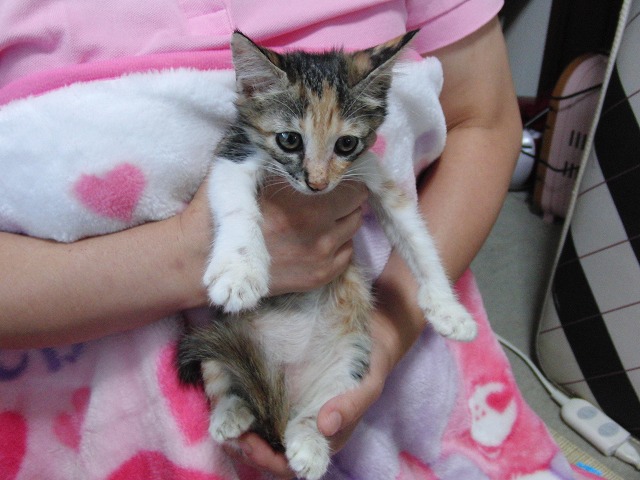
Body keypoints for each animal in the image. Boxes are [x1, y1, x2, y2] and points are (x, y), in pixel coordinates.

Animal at [177, 30, 477, 479]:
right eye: (289, 139)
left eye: (346, 143)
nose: (317, 184)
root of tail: (286, 389)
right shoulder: (235, 151)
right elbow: (236, 204)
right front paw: (240, 271)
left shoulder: (369, 171)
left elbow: (416, 236)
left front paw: (448, 311)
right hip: (219, 339)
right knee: (226, 382)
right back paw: (232, 413)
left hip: (349, 361)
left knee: (309, 414)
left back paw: (309, 443)